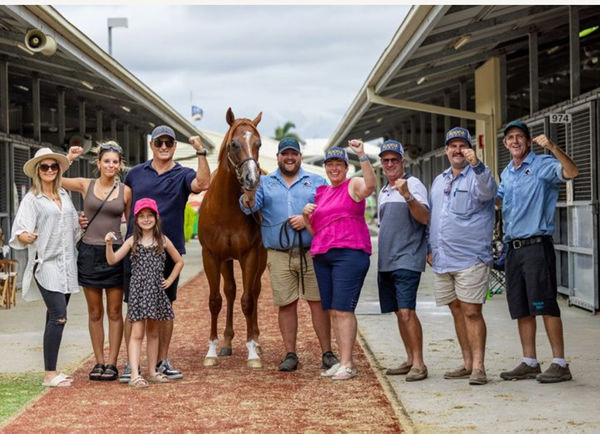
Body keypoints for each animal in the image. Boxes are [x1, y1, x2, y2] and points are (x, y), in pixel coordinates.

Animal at [198, 107, 266, 368]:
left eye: (258, 143)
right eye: (234, 144)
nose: (252, 179)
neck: (226, 209)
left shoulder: (250, 254)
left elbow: (247, 300)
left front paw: (253, 353)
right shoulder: (211, 255)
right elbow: (215, 300)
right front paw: (211, 351)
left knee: (254, 291)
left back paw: (256, 340)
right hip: (226, 261)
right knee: (230, 291)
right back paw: (226, 342)